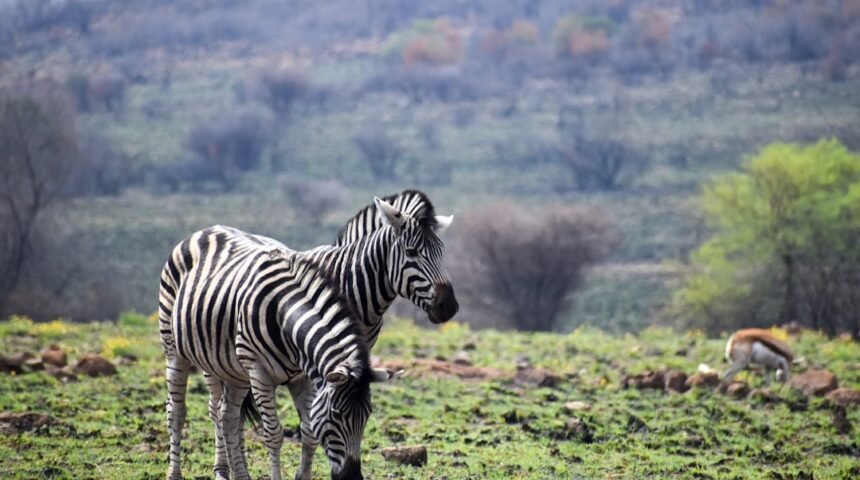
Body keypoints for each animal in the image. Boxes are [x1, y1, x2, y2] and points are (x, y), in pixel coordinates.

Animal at [158, 225, 399, 480]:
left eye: (367, 415)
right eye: (336, 414)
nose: (352, 478)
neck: (283, 315)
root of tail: (207, 230)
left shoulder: (302, 378)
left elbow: (309, 429)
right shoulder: (259, 373)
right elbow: (273, 434)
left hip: (232, 368)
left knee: (228, 417)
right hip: (175, 350)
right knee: (177, 411)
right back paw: (175, 474)